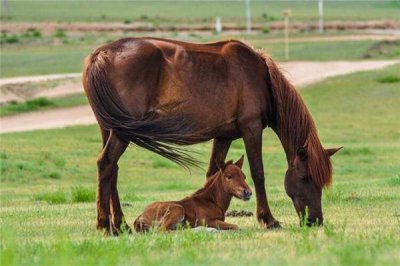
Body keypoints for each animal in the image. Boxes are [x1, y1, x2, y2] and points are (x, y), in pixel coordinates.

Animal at [82, 36, 340, 234]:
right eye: (305, 177)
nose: (315, 220)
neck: (262, 78)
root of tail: (100, 55)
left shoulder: (223, 136)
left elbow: (213, 172)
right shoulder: (251, 128)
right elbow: (258, 173)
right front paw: (268, 219)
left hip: (110, 129)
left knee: (112, 170)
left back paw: (121, 224)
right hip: (121, 132)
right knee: (106, 164)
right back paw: (105, 225)